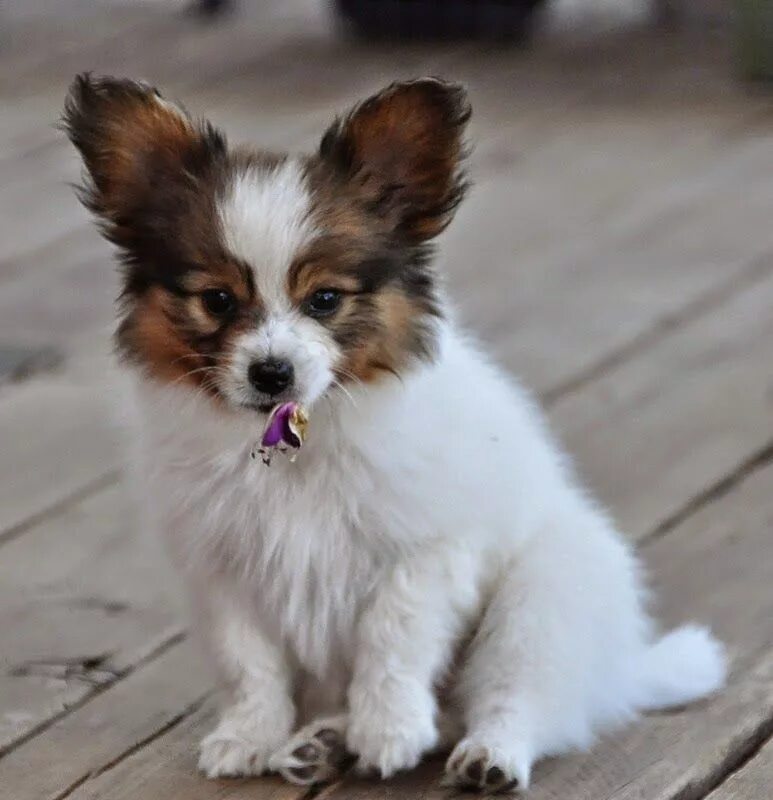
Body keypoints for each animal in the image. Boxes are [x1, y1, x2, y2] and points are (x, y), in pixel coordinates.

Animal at [65, 75, 724, 792]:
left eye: (325, 300)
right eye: (216, 300)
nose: (271, 372)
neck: (302, 440)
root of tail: (619, 672)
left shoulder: (428, 550)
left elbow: (392, 634)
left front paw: (389, 728)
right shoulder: (224, 572)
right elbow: (250, 664)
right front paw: (250, 736)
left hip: (542, 598)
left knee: (516, 699)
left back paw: (488, 754)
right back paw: (322, 742)